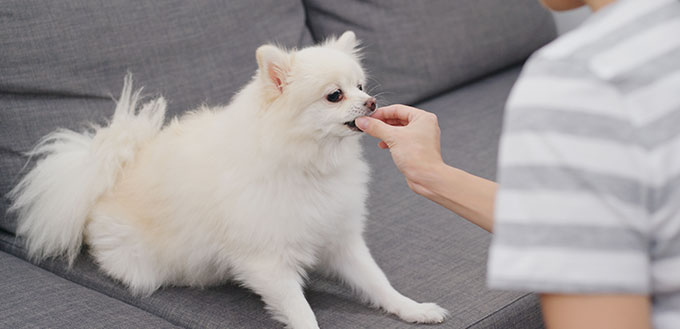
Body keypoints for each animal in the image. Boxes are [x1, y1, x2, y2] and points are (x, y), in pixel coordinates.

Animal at [10, 31, 448, 328]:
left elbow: (377, 283)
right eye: (334, 96)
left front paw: (413, 309)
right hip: (141, 263)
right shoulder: (268, 262)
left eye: (360, 86)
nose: (371, 102)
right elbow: (301, 312)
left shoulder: (340, 239)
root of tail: (106, 181)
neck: (308, 163)